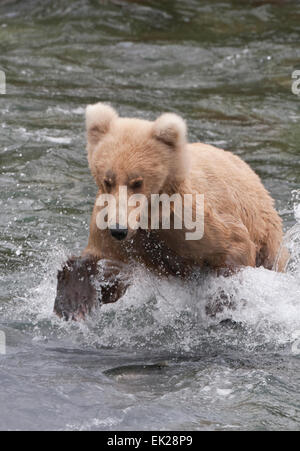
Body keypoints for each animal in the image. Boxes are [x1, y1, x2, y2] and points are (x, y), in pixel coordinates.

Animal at [54, 102, 288, 322]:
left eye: (137, 182)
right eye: (107, 180)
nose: (118, 229)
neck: (149, 216)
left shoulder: (191, 222)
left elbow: (233, 250)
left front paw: (221, 306)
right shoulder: (112, 223)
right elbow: (101, 263)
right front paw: (73, 304)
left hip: (267, 232)